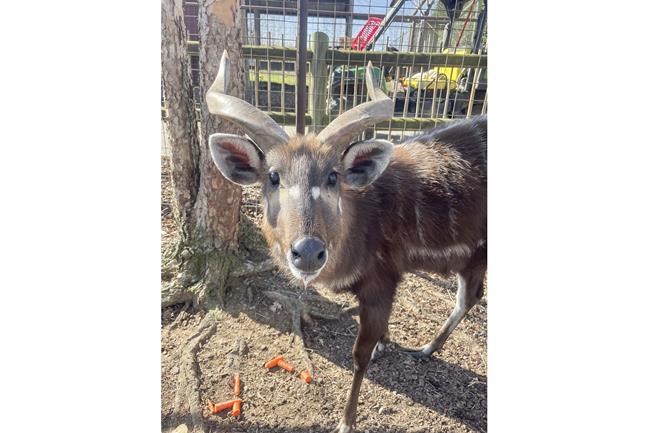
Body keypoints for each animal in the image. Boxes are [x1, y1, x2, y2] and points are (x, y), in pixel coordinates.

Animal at [207, 51, 487, 433]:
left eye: (332, 176)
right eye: (273, 176)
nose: (308, 253)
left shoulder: (380, 282)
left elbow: (359, 356)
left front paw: (346, 421)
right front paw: (385, 344)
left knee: (470, 297)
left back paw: (426, 348)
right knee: (471, 297)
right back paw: (427, 348)